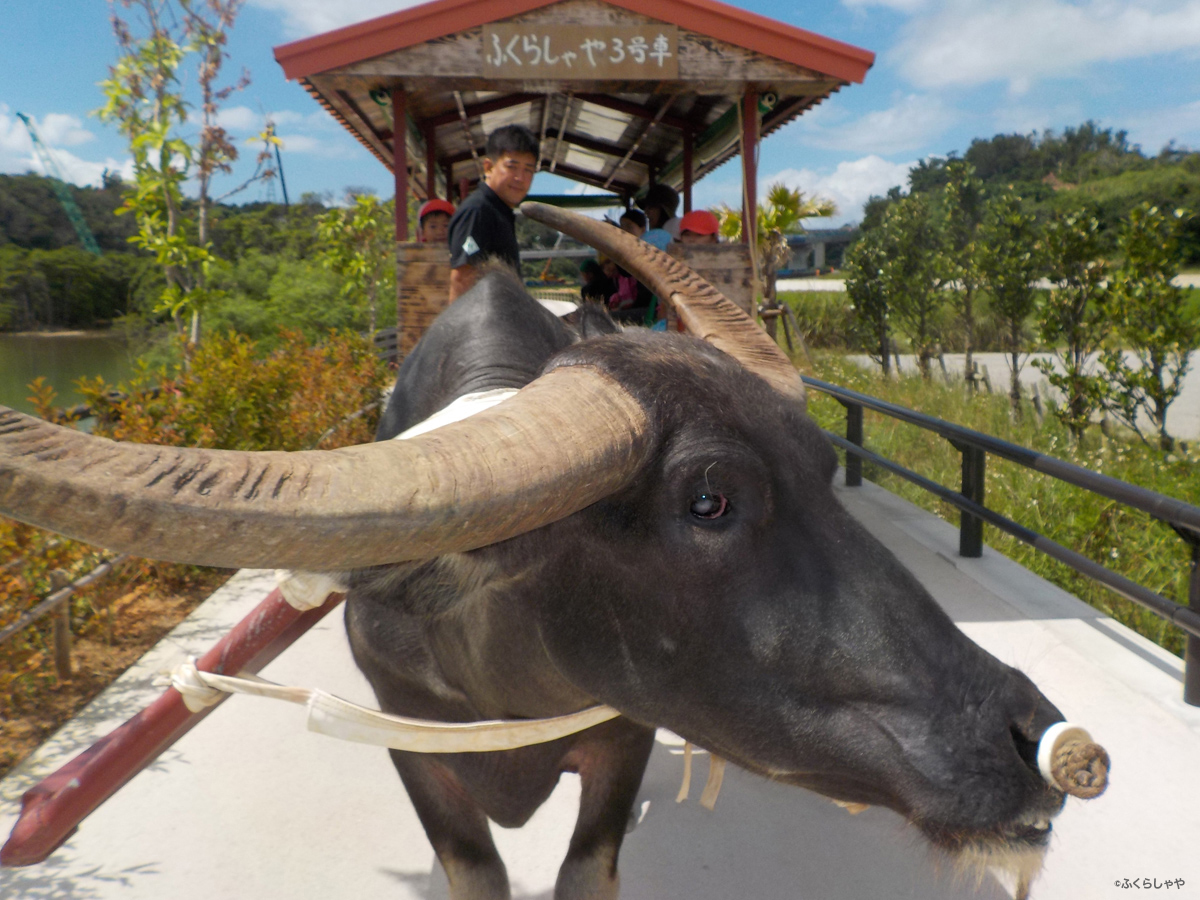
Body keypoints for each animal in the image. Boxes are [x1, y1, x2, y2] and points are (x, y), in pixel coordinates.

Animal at [0, 206, 1104, 900]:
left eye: (824, 464)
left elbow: (588, 870)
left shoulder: (622, 738)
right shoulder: (412, 750)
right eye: (710, 500)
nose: (1044, 744)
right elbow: (474, 872)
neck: (502, 672)